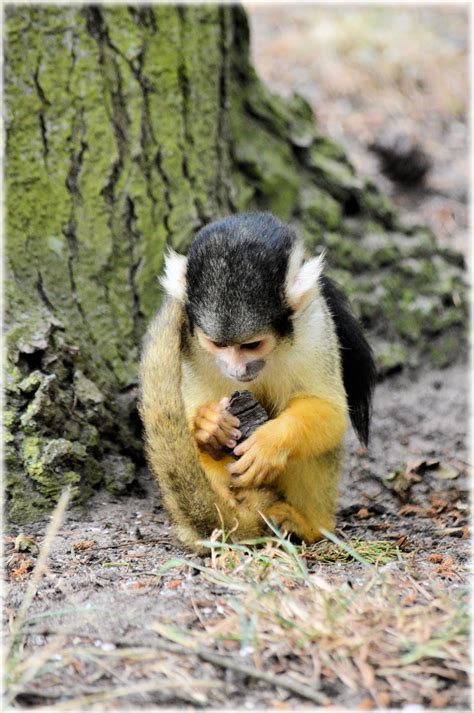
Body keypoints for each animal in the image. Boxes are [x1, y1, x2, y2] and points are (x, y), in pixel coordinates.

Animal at [139, 211, 376, 552]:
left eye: (251, 345)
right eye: (218, 345)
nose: (237, 369)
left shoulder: (315, 323)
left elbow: (332, 413)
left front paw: (272, 442)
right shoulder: (192, 342)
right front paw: (208, 423)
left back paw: (309, 525)